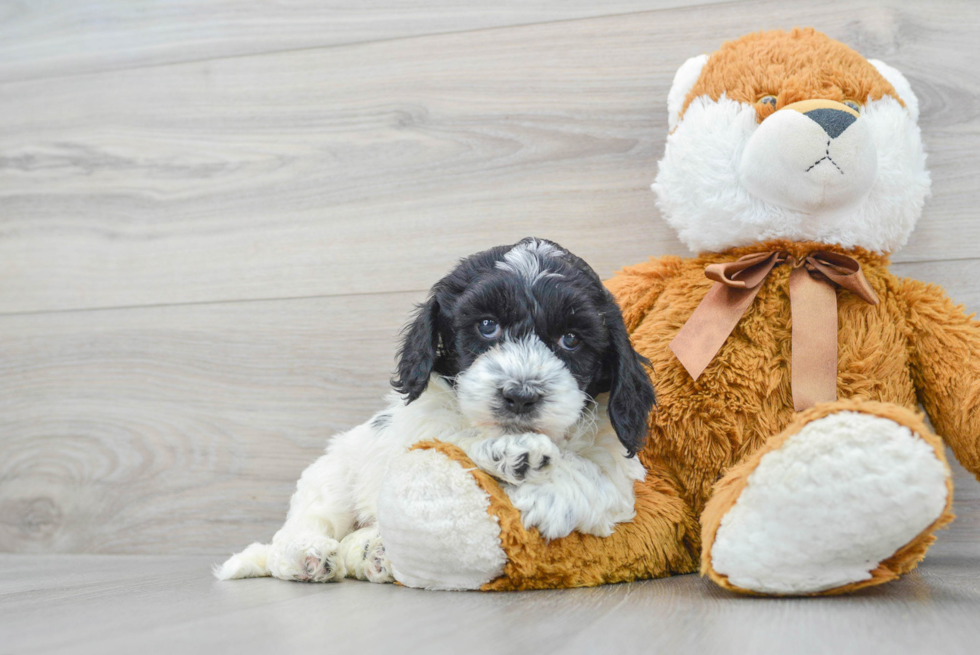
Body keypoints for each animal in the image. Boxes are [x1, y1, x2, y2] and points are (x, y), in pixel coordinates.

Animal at [218, 240, 656, 584]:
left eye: (570, 339)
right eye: (487, 325)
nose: (520, 395)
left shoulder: (615, 462)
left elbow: (598, 478)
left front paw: (551, 491)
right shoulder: (422, 424)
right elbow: (454, 439)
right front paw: (512, 453)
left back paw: (374, 553)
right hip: (332, 477)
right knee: (303, 525)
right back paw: (306, 554)